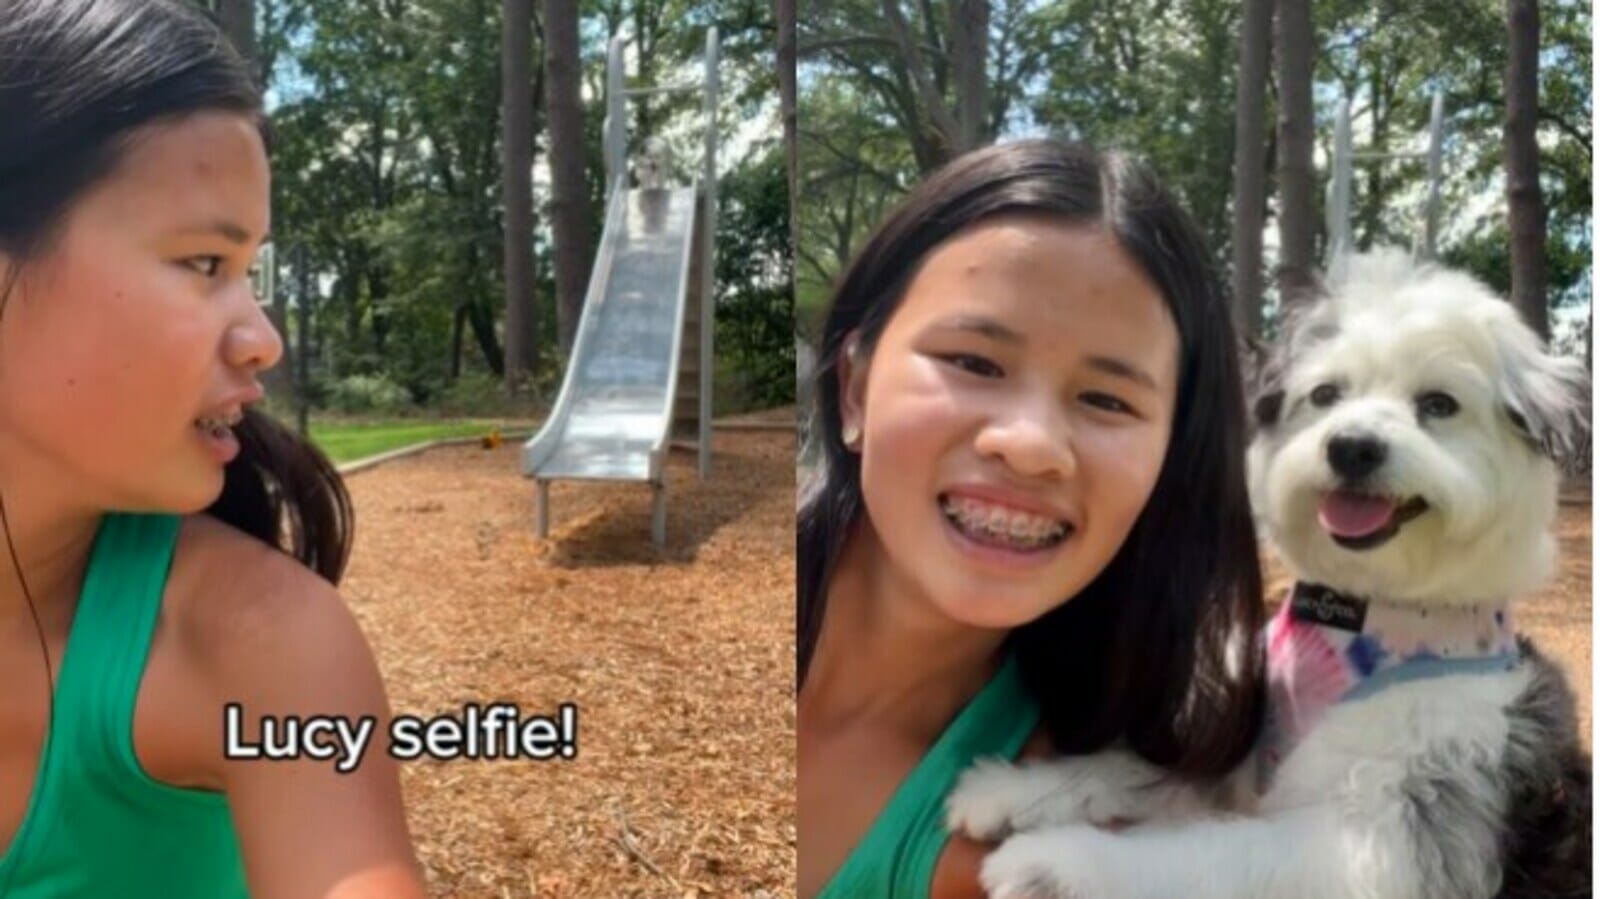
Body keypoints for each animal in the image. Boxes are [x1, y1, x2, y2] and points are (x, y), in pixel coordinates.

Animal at [947, 249, 1587, 895]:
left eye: (1439, 404)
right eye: (1325, 393)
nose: (1351, 447)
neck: (1366, 619)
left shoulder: (1387, 838)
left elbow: (1207, 852)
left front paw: (1056, 862)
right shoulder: (1241, 746)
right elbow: (1136, 765)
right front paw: (1008, 788)